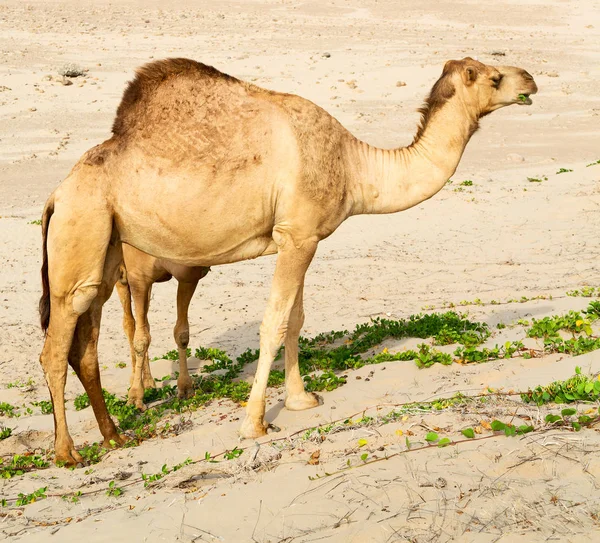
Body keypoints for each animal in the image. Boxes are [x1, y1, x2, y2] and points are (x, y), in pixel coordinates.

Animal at [115, 244, 211, 410]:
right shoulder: (137, 276)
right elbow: (140, 340)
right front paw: (135, 397)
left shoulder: (188, 276)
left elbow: (182, 333)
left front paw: (185, 388)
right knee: (129, 323)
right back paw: (135, 379)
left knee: (144, 323)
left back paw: (148, 382)